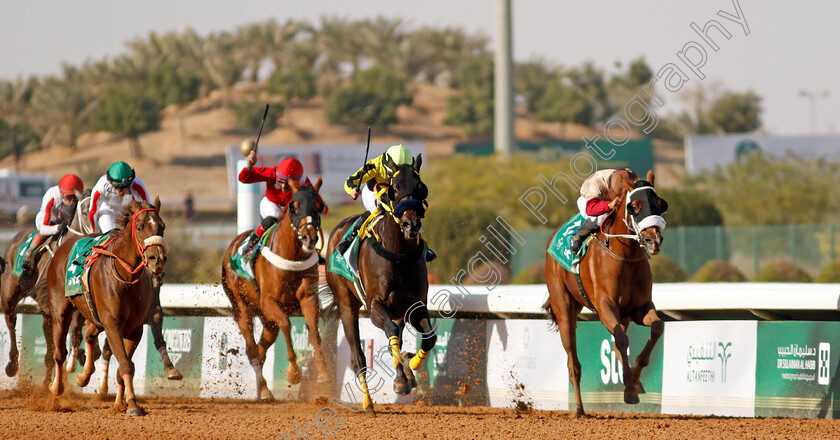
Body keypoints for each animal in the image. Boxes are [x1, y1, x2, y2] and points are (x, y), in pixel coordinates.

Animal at [47, 199, 166, 416]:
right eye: (139, 227)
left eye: (162, 226)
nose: (157, 259)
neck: (126, 278)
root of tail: (62, 247)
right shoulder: (112, 324)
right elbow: (125, 364)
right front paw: (133, 405)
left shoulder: (134, 329)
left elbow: (124, 366)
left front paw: (123, 403)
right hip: (61, 312)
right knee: (60, 353)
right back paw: (56, 389)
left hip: (95, 316)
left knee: (89, 334)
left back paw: (84, 376)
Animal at [221, 180, 330, 400]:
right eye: (294, 207)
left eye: (318, 206)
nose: (309, 238)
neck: (292, 256)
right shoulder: (269, 302)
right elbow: (286, 324)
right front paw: (294, 372)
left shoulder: (309, 299)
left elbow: (314, 334)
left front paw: (322, 374)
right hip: (242, 308)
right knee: (252, 350)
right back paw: (264, 391)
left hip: (267, 322)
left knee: (261, 350)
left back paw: (262, 390)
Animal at [324, 156, 436, 418]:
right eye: (394, 188)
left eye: (420, 187)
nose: (411, 224)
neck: (398, 254)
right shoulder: (375, 304)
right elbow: (391, 333)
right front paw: (403, 379)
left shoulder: (416, 306)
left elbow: (428, 338)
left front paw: (410, 366)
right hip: (347, 305)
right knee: (358, 358)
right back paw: (368, 405)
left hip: (396, 311)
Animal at [544, 168, 668, 416]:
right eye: (634, 206)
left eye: (660, 204)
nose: (654, 240)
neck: (625, 257)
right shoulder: (605, 308)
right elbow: (621, 340)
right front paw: (629, 389)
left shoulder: (639, 308)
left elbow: (656, 327)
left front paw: (634, 382)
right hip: (563, 307)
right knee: (573, 362)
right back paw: (580, 409)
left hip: (623, 315)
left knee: (619, 345)